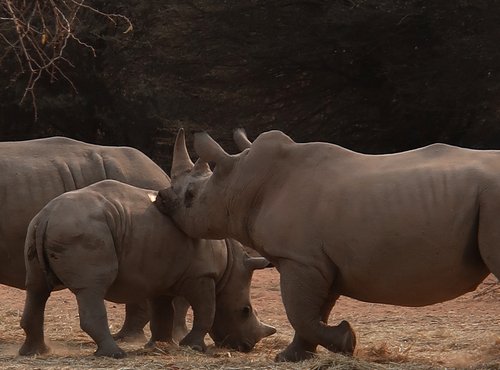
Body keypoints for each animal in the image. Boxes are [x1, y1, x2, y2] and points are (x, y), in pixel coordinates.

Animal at [19, 179, 276, 358]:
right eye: (245, 310)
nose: (246, 347)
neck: (230, 268)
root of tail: (47, 215)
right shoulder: (202, 276)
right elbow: (206, 311)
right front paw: (193, 347)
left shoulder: (160, 276)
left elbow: (163, 312)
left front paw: (161, 345)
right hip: (83, 230)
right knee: (91, 289)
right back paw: (115, 354)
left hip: (39, 227)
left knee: (36, 288)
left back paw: (35, 353)